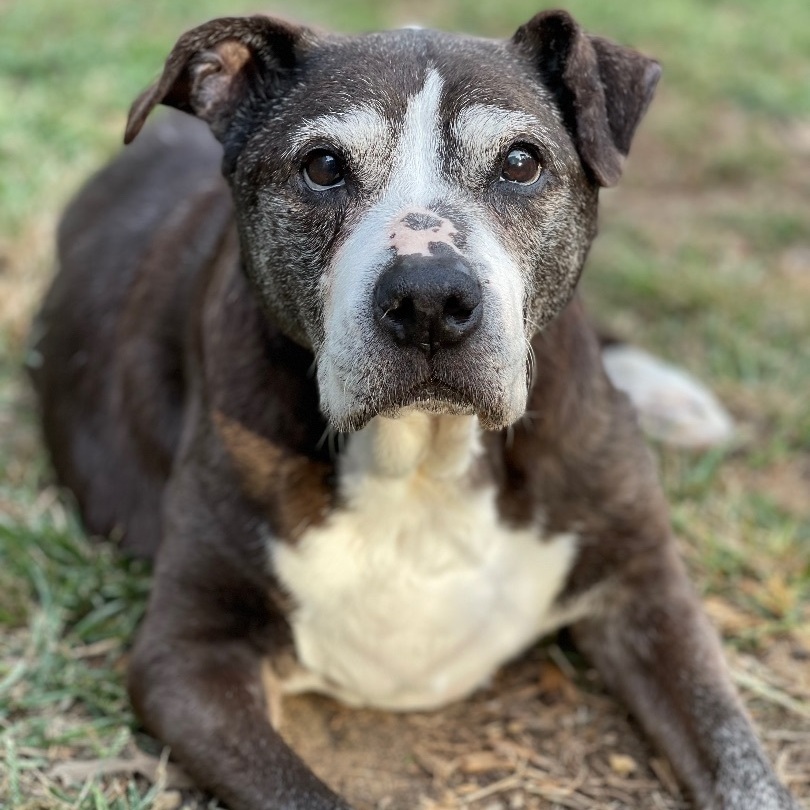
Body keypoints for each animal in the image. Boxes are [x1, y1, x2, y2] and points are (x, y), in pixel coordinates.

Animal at [30, 7, 796, 808]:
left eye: (520, 162)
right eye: (323, 166)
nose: (429, 299)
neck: (425, 456)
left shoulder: (644, 583)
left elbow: (740, 760)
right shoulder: (188, 657)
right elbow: (303, 792)